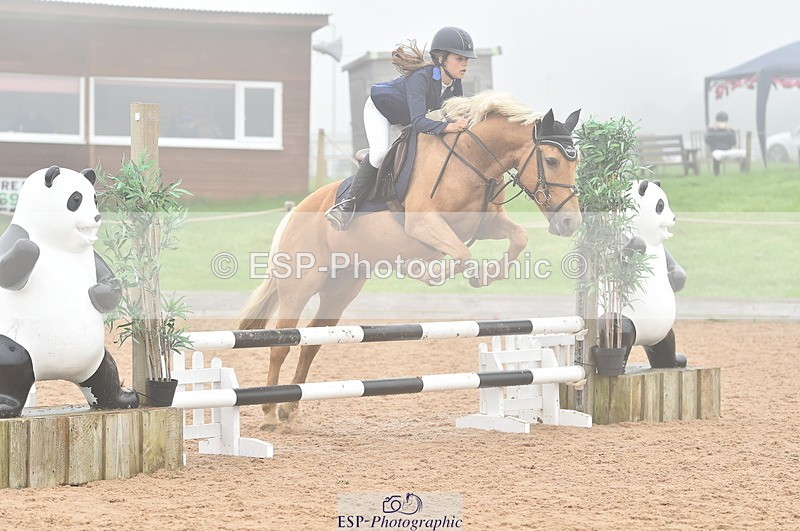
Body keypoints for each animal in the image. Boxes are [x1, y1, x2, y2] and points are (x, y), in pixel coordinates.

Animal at [238, 90, 582, 430]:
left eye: (575, 162)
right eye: (551, 160)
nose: (570, 224)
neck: (471, 159)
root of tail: (295, 212)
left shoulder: (486, 223)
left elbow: (519, 237)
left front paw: (484, 276)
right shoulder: (425, 224)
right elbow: (461, 253)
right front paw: (431, 274)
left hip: (341, 290)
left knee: (312, 342)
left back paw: (290, 410)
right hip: (299, 287)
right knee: (282, 344)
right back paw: (269, 414)